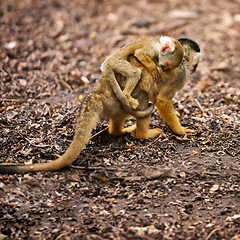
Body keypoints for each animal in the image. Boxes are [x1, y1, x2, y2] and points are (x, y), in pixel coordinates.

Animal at [0, 37, 202, 173]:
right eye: (194, 64)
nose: (163, 67)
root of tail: (99, 89)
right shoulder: (180, 75)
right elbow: (162, 100)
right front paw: (181, 131)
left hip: (115, 101)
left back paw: (118, 131)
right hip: (122, 89)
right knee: (143, 97)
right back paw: (143, 134)